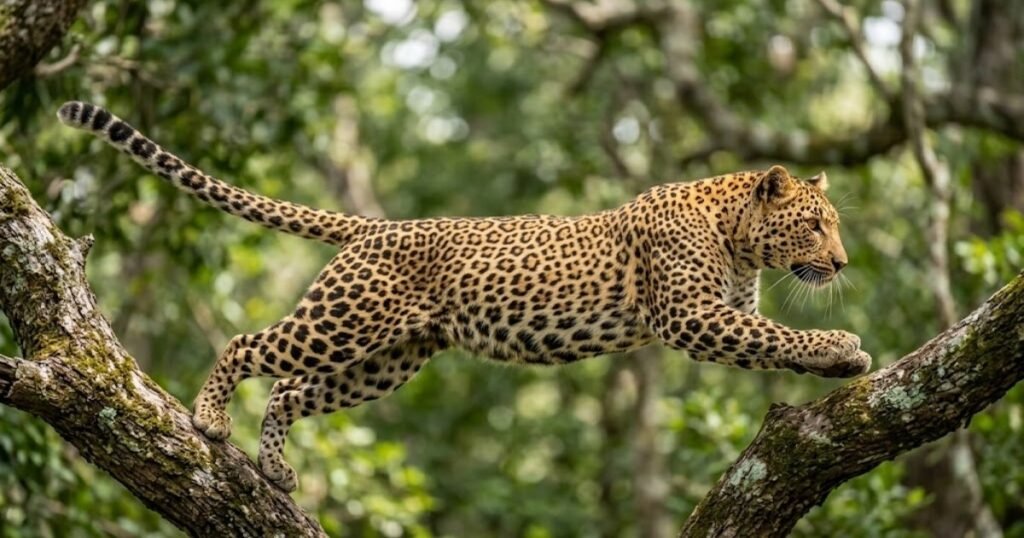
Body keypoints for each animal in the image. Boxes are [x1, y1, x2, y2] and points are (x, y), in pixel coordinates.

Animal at [58, 101, 871, 492]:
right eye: (815, 223)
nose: (841, 262)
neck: (739, 237)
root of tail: (375, 226)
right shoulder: (690, 317)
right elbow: (779, 339)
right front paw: (840, 347)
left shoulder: (727, 314)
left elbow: (769, 342)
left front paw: (833, 358)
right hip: (344, 322)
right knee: (248, 344)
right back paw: (209, 418)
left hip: (389, 358)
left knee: (290, 390)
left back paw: (277, 471)